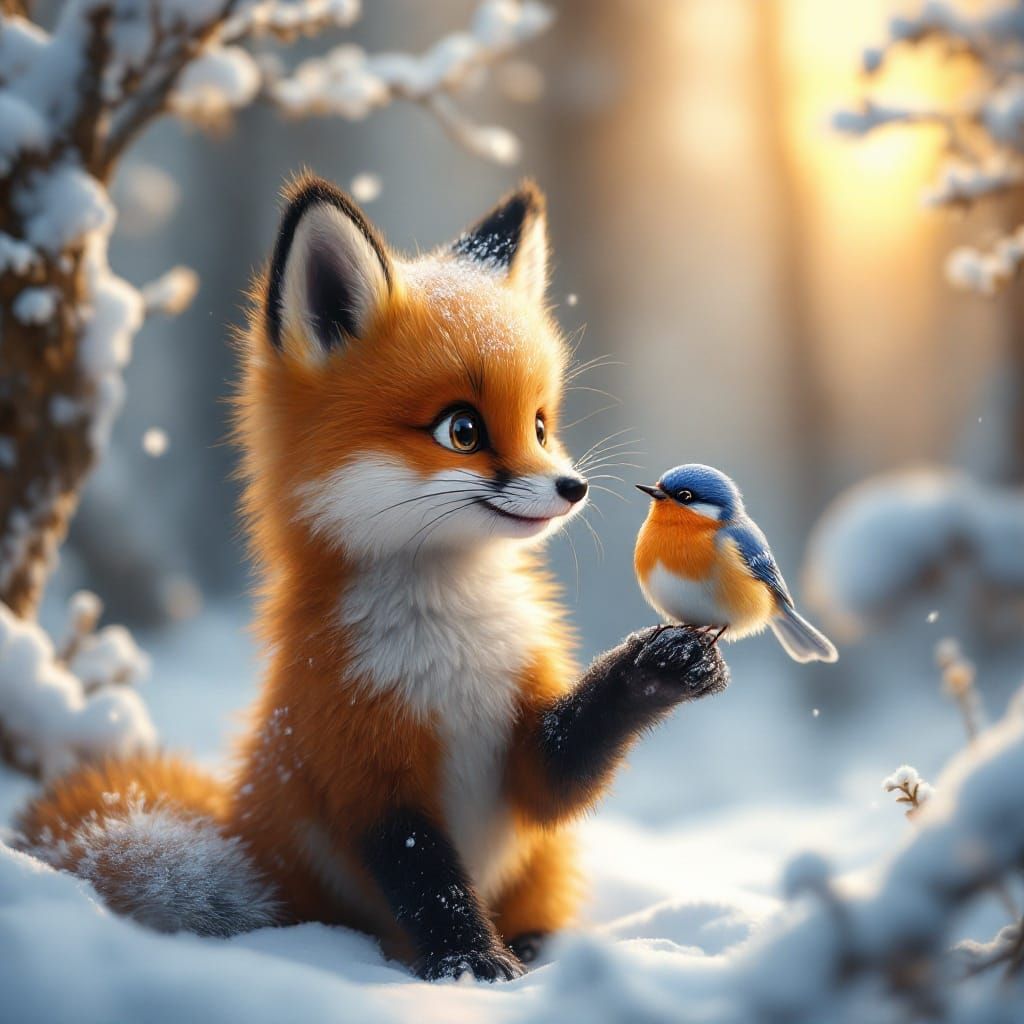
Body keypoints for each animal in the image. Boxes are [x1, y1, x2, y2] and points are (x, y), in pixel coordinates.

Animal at [16, 174, 728, 981]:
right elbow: (430, 884)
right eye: (463, 430)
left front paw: (661, 665)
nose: (573, 488)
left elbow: (572, 757)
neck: (453, 657)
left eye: (542, 425)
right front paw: (473, 966)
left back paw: (544, 944)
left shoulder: (521, 754)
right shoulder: (362, 767)